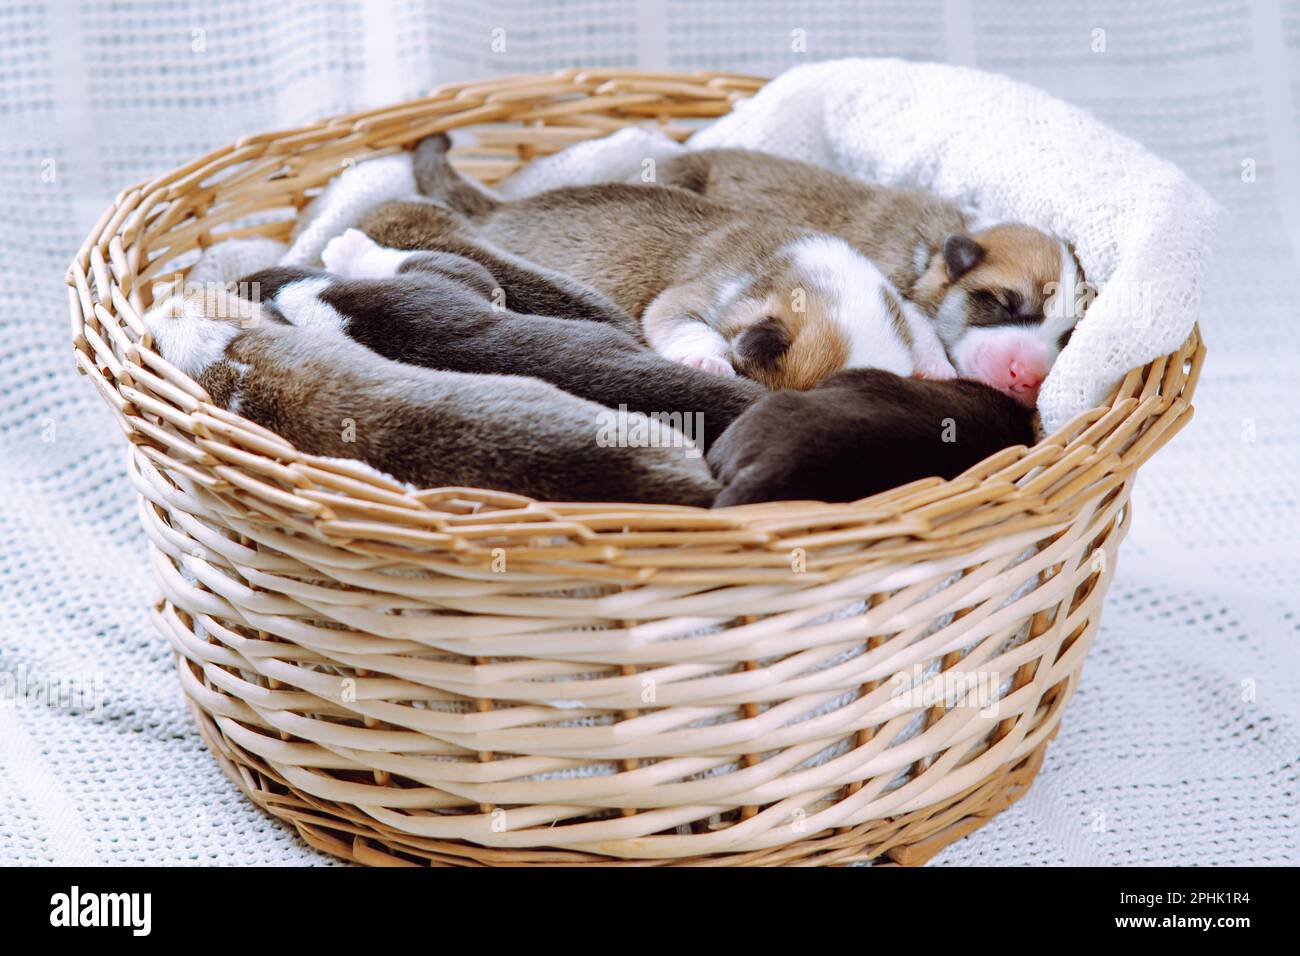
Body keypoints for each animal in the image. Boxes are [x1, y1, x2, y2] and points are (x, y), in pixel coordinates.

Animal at [361, 133, 951, 390]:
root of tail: (497, 210)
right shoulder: (685, 300)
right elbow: (690, 326)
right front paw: (709, 361)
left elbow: (919, 322)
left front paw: (938, 365)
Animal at [655, 150, 1081, 408]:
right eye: (1005, 304)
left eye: (1066, 338)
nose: (1028, 377)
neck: (932, 250)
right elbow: (919, 326)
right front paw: (937, 367)